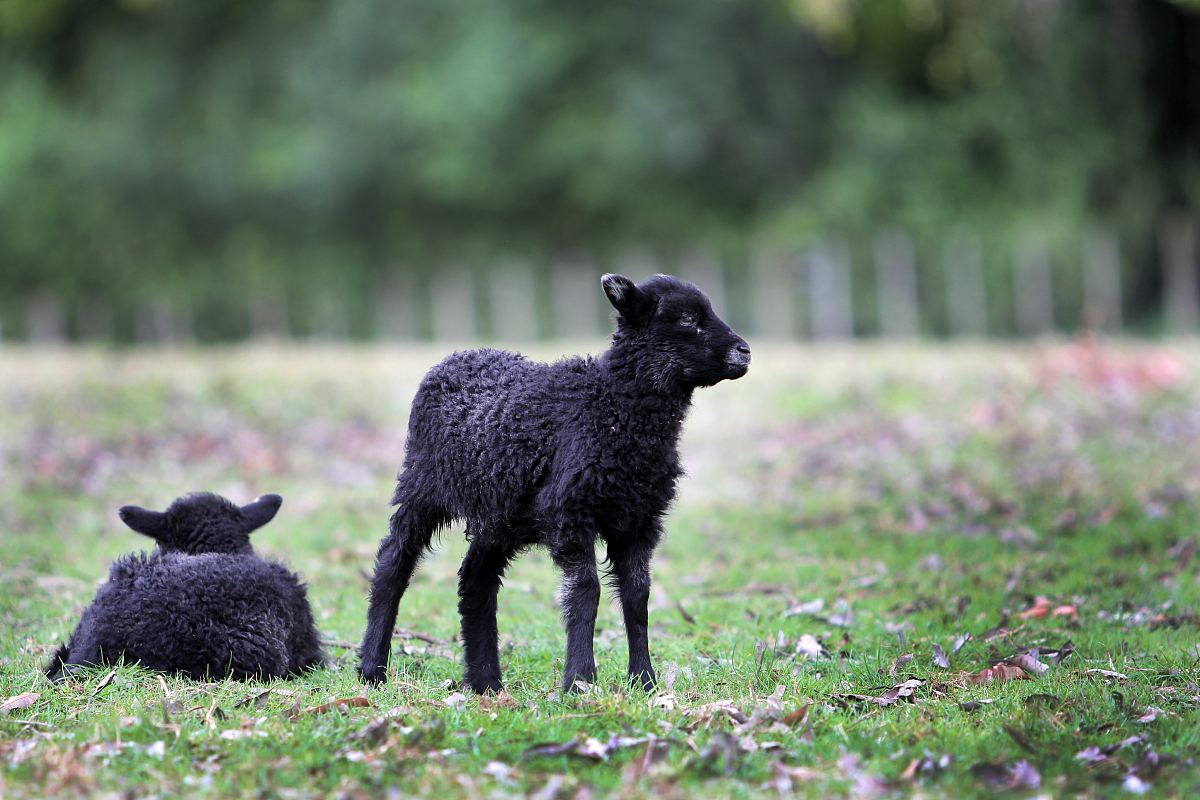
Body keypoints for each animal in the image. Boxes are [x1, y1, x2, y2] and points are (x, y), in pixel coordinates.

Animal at [357, 273, 748, 695]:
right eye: (688, 319)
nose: (744, 351)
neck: (612, 407)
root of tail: (453, 357)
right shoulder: (571, 513)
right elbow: (586, 592)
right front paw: (580, 680)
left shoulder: (638, 519)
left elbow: (637, 596)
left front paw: (644, 680)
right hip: (422, 485)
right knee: (393, 562)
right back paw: (372, 668)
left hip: (501, 513)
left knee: (476, 579)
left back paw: (486, 681)